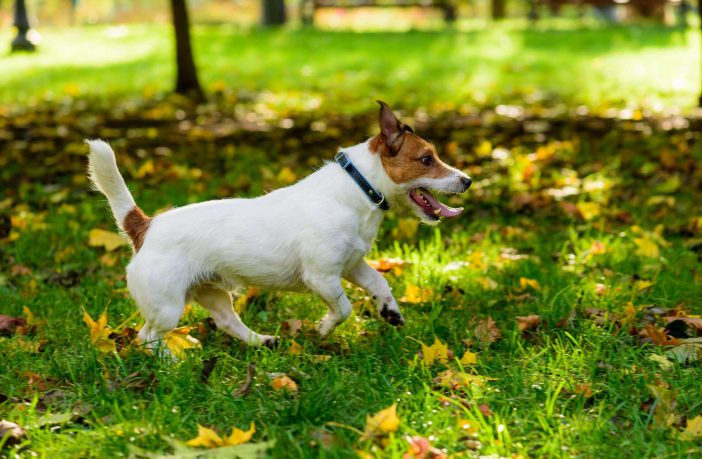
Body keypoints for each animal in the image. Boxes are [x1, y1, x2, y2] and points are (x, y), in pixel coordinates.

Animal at [88, 100, 472, 350]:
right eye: (427, 159)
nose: (467, 180)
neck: (358, 188)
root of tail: (144, 226)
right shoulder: (323, 277)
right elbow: (344, 308)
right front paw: (324, 329)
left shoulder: (351, 264)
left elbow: (379, 282)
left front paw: (390, 311)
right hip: (167, 307)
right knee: (147, 338)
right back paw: (168, 364)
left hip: (213, 292)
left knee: (227, 321)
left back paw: (262, 342)